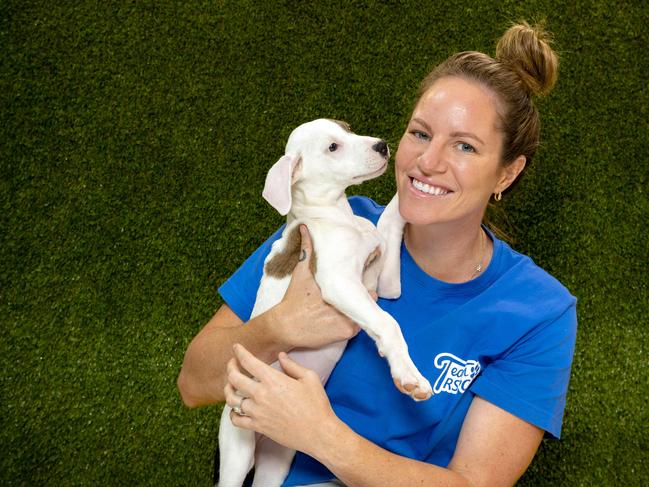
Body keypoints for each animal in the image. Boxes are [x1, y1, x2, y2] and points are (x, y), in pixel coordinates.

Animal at [218, 119, 430, 487]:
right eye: (333, 147)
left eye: (349, 129)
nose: (382, 145)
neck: (336, 216)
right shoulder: (338, 282)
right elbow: (388, 322)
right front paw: (408, 375)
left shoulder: (384, 284)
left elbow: (390, 219)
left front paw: (410, 192)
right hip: (237, 452)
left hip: (278, 460)